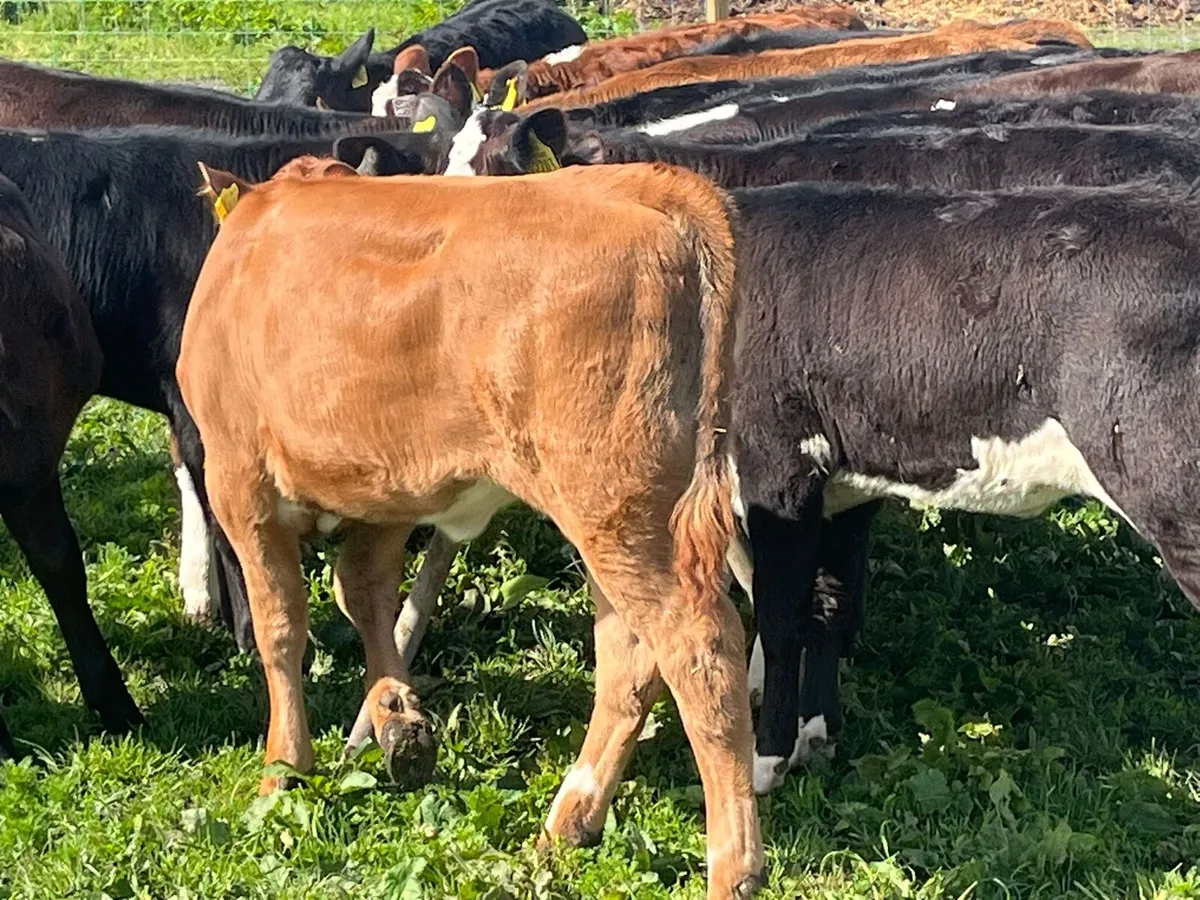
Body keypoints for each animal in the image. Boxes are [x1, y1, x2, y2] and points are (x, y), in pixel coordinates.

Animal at [177, 162, 761, 899]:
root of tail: (654, 184)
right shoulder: (387, 487)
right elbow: (363, 593)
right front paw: (397, 722)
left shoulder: (239, 479)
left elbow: (280, 626)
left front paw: (283, 770)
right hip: (622, 513)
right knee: (629, 659)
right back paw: (568, 822)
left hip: (613, 501)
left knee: (700, 649)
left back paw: (732, 868)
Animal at [725, 178, 1200, 795]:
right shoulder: (844, 490)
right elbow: (830, 606)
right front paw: (816, 737)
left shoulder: (777, 468)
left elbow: (782, 622)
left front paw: (765, 764)